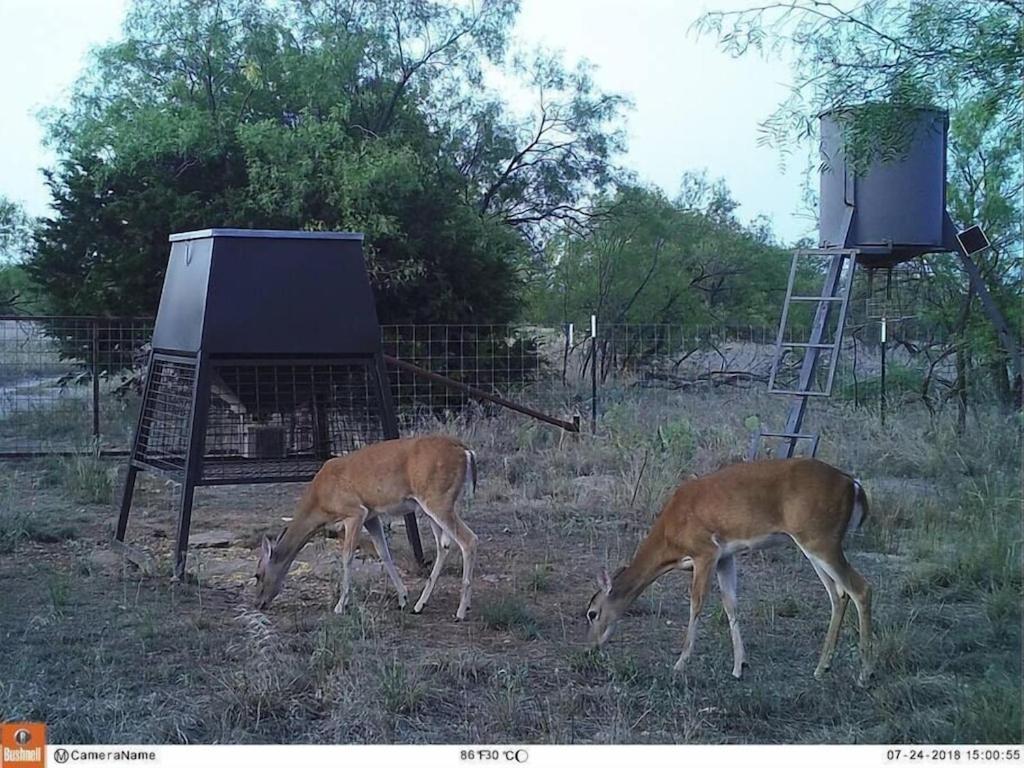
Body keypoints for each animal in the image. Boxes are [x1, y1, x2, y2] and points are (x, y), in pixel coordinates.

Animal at [256, 436, 479, 622]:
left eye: (257, 575)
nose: (258, 603)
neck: (319, 501)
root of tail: (465, 450)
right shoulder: (371, 515)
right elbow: (383, 552)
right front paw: (403, 598)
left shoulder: (355, 512)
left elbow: (347, 557)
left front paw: (340, 605)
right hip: (431, 505)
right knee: (444, 545)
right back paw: (419, 605)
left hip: (438, 499)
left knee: (468, 539)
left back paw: (460, 611)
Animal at [585, 456, 872, 684]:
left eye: (592, 613)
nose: (590, 647)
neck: (669, 538)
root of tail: (853, 485)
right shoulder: (725, 556)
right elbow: (730, 603)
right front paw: (739, 666)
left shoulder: (705, 551)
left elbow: (697, 603)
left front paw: (680, 663)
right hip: (814, 543)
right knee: (838, 594)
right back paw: (822, 667)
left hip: (820, 539)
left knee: (860, 588)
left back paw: (864, 673)